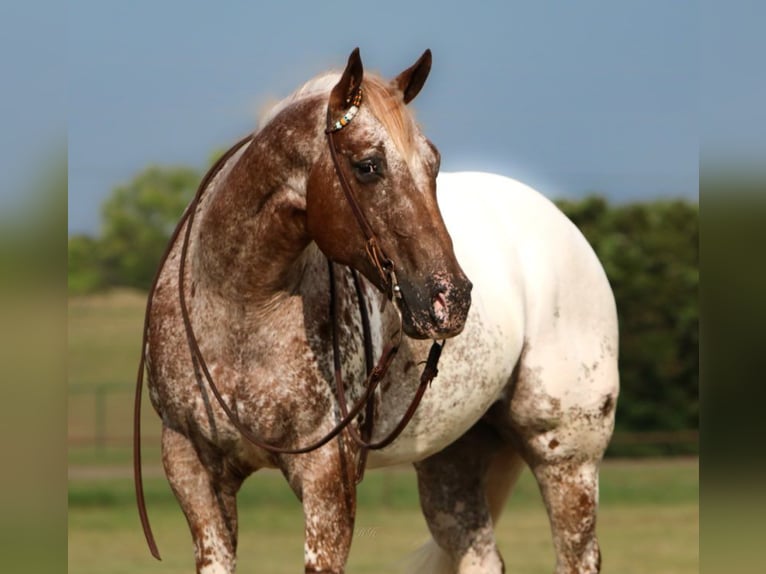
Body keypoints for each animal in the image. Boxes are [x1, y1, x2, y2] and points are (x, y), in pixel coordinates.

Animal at [135, 49, 620, 574]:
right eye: (367, 166)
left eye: (433, 164)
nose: (451, 298)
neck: (240, 309)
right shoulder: (193, 470)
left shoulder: (327, 477)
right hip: (453, 461)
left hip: (567, 457)